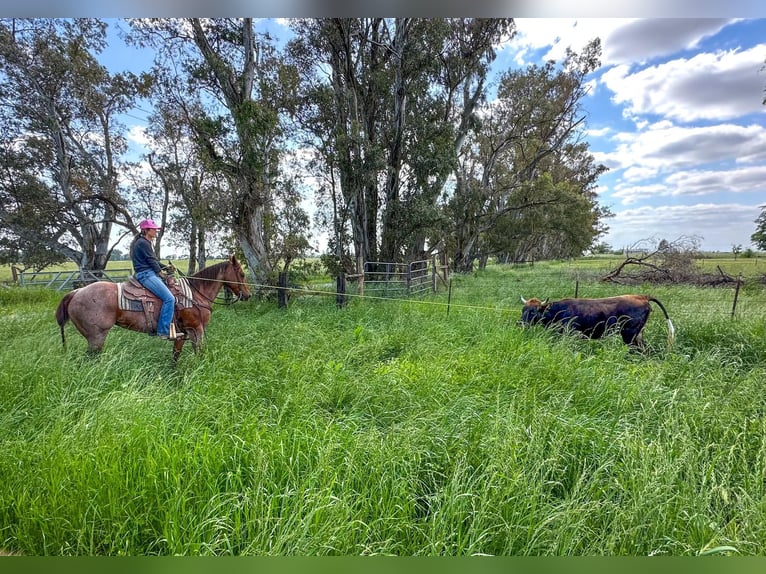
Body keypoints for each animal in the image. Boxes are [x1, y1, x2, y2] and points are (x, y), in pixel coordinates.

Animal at [54, 256, 252, 364]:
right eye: (242, 274)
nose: (248, 295)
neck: (195, 293)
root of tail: (75, 292)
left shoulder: (182, 333)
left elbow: (175, 356)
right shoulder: (196, 329)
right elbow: (200, 352)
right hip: (96, 337)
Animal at [520, 296, 680, 352]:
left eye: (533, 312)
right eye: (523, 309)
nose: (520, 323)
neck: (559, 311)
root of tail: (641, 297)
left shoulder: (570, 334)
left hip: (629, 335)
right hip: (638, 335)